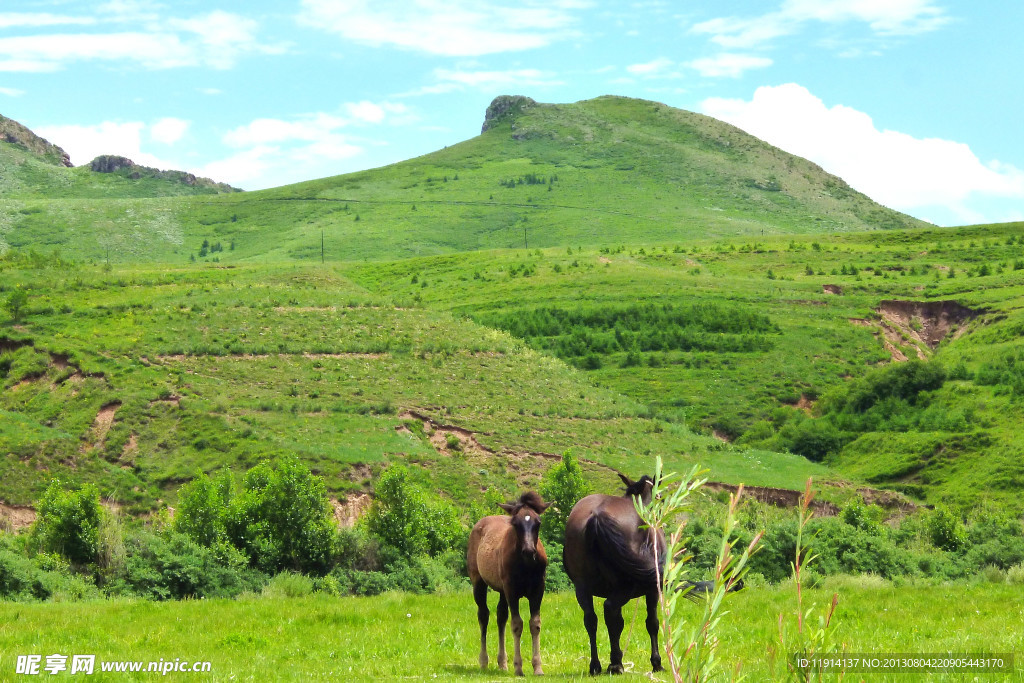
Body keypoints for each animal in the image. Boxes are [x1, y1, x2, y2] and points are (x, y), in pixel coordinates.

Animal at [468, 493, 552, 675]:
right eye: (515, 523)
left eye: (538, 522)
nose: (528, 551)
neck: (527, 565)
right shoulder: (511, 589)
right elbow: (517, 624)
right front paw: (518, 667)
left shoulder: (538, 589)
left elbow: (535, 624)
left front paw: (538, 667)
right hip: (478, 582)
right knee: (483, 615)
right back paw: (484, 661)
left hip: (501, 590)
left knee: (501, 616)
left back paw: (502, 663)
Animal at [561, 473, 663, 675]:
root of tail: (597, 516)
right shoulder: (653, 590)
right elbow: (652, 622)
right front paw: (656, 662)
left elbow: (618, 622)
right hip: (625, 587)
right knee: (609, 609)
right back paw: (615, 663)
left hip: (582, 587)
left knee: (592, 620)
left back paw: (596, 665)